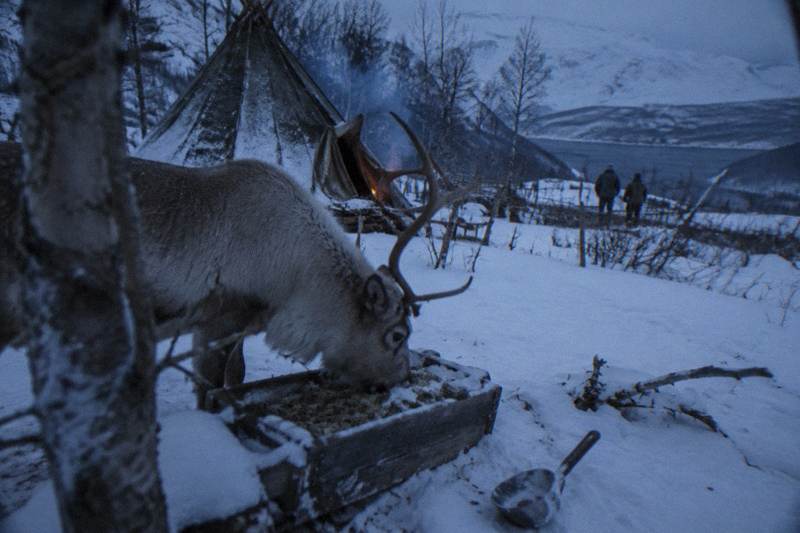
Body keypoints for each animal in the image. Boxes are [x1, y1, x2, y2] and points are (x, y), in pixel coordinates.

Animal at [0, 114, 471, 406]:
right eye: (396, 334)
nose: (402, 378)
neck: (297, 283)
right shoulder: (216, 318)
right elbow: (209, 390)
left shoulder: (236, 325)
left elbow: (236, 379)